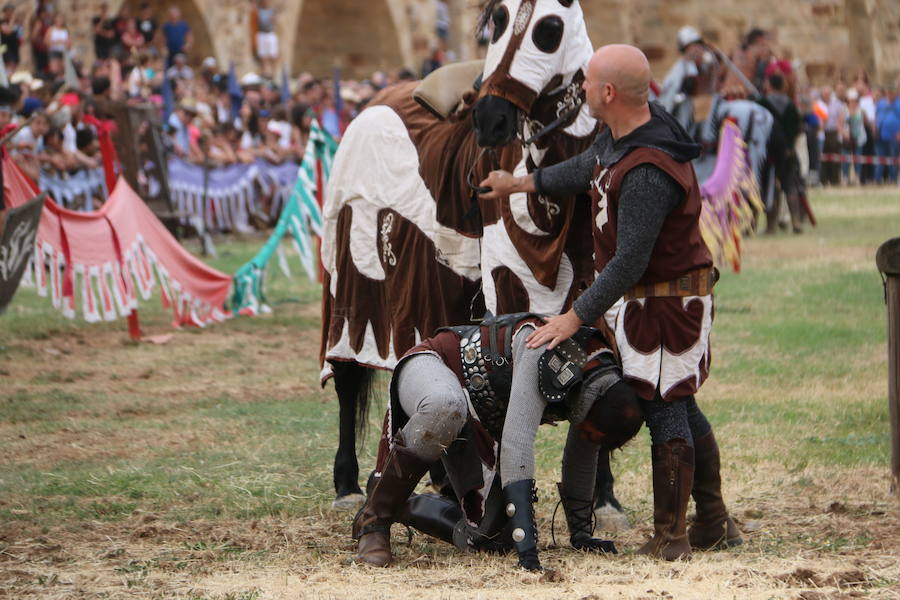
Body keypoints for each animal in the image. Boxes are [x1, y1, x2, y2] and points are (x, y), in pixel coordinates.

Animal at [320, 0, 628, 528]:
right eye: (498, 19)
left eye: (550, 28)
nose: (491, 121)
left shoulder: (596, 300)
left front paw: (604, 496)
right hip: (351, 293)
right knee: (346, 379)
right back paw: (347, 484)